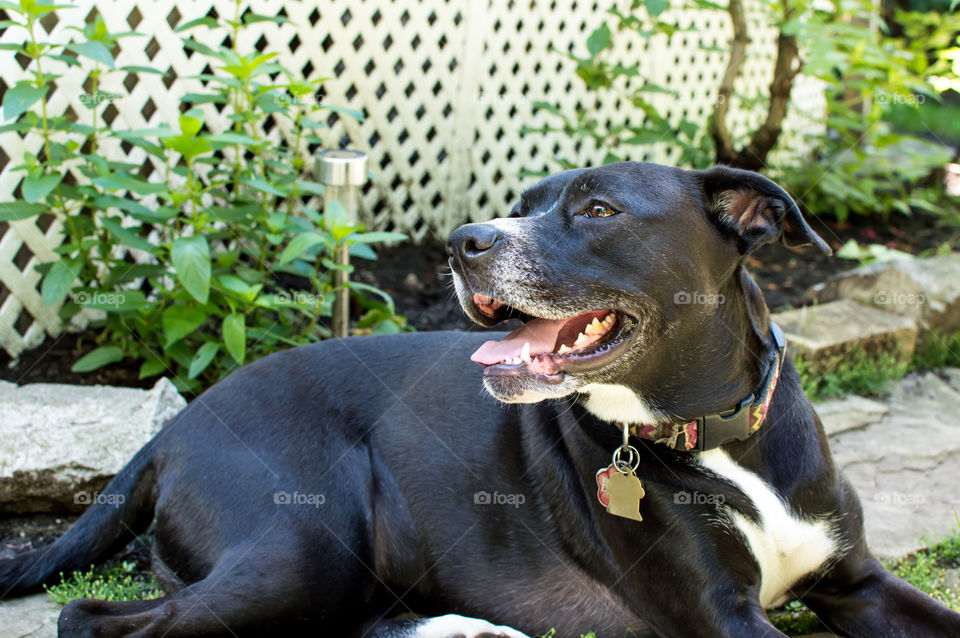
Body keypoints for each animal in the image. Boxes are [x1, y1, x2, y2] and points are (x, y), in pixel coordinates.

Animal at [1, 164, 960, 638]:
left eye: (598, 209)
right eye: (521, 203)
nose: (463, 242)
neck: (717, 436)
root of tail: (172, 431)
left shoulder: (860, 583)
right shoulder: (719, 617)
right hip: (303, 544)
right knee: (91, 620)